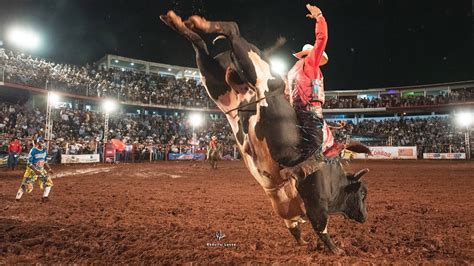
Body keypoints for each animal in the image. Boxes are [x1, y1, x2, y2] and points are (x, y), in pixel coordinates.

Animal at [163, 10, 370, 256]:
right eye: (363, 193)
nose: (365, 216)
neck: (333, 177)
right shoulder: (316, 201)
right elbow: (322, 227)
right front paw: (336, 250)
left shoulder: (289, 211)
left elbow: (295, 229)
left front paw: (305, 243)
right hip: (257, 69)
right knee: (232, 29)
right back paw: (200, 23)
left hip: (215, 83)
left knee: (200, 47)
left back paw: (179, 22)